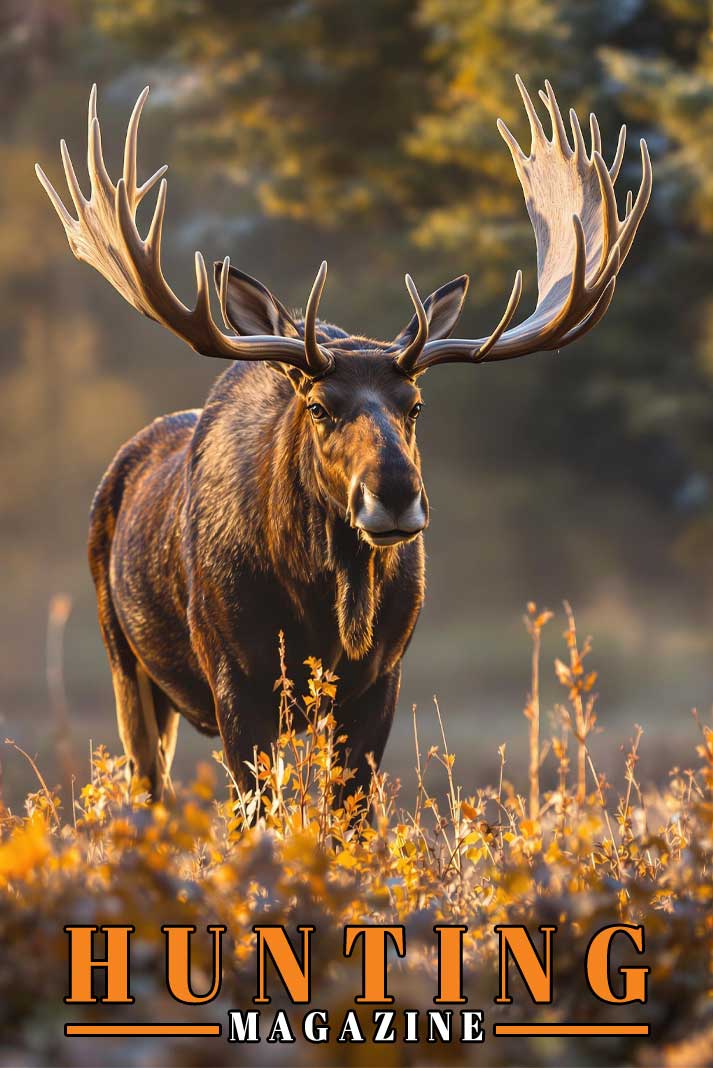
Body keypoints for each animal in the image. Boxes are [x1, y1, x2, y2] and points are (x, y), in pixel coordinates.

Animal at [36, 77, 651, 805]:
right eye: (319, 406)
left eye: (415, 406)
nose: (396, 495)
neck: (326, 608)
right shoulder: (233, 674)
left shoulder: (381, 678)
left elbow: (351, 809)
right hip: (122, 655)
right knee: (147, 787)